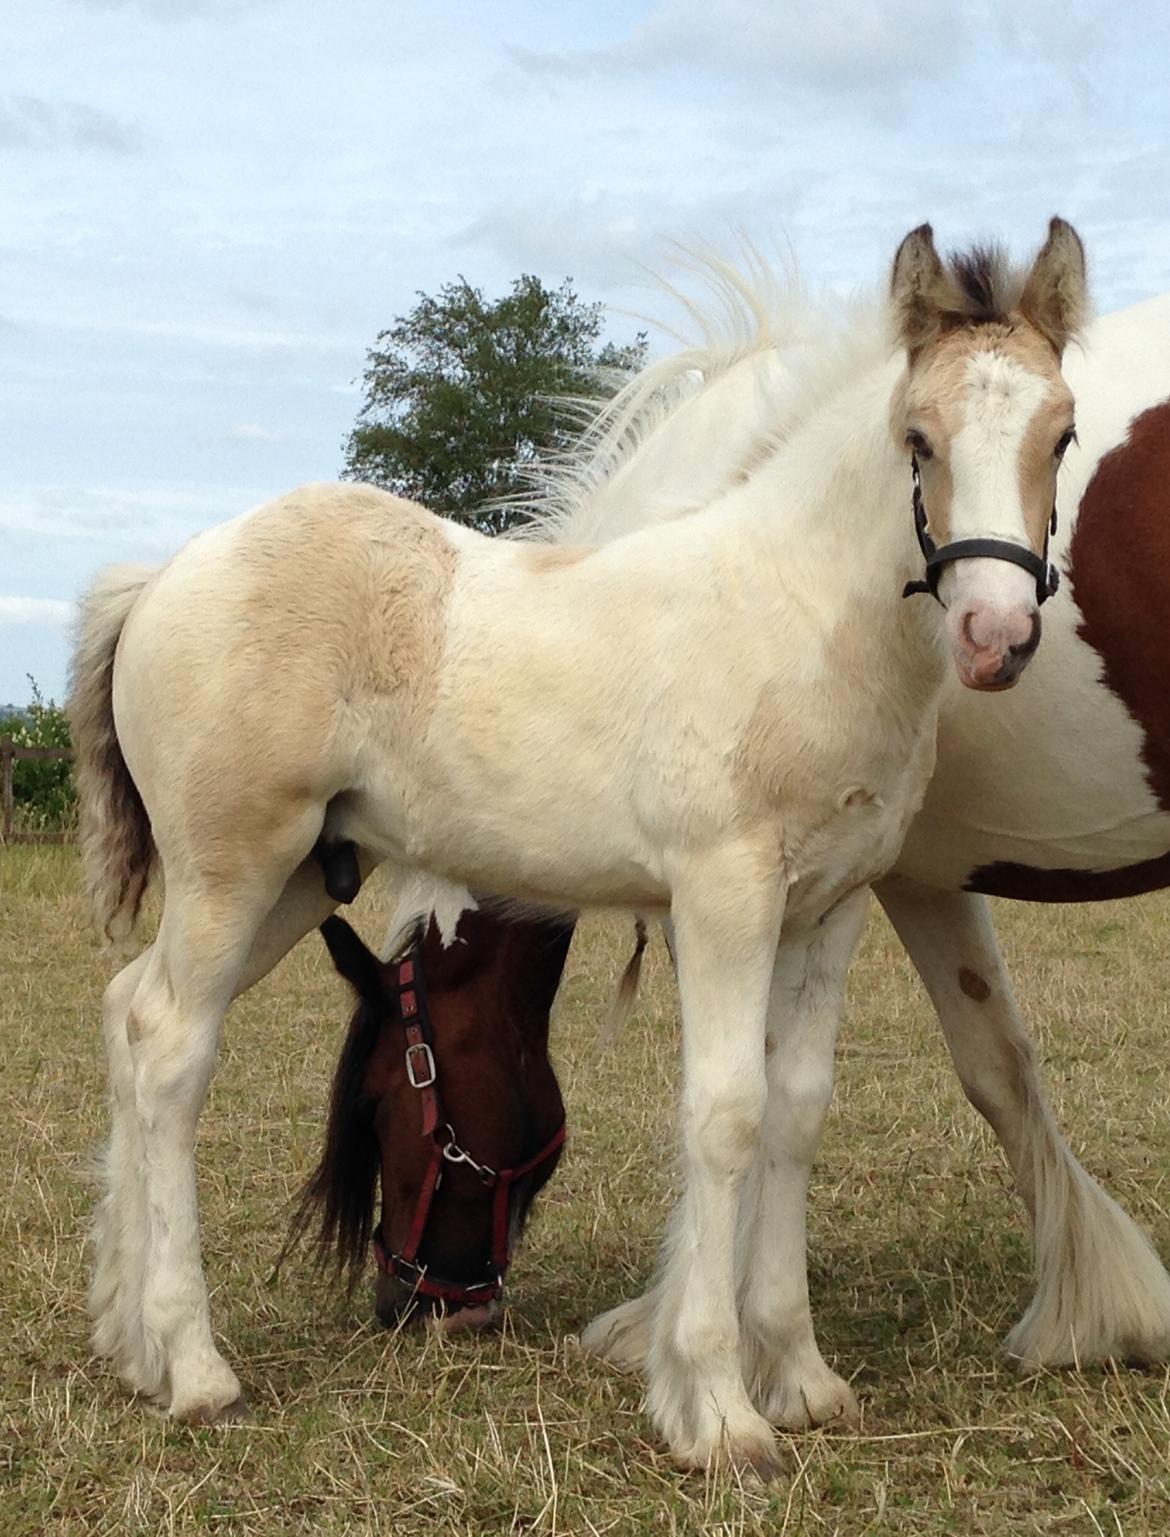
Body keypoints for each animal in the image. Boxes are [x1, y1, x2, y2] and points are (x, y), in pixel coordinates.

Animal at [70, 219, 1076, 1475]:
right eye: (918, 438)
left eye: (1063, 434)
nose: (997, 633)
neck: (795, 612)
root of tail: (163, 575)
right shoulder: (725, 894)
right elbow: (727, 1113)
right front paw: (718, 1409)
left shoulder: (828, 906)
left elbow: (795, 1112)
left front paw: (799, 1377)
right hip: (231, 870)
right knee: (170, 1051)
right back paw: (196, 1368)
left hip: (298, 879)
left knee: (127, 1010)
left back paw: (131, 1345)